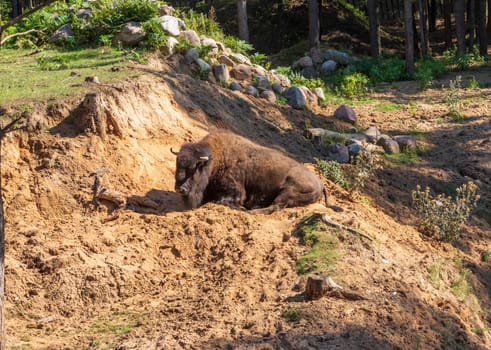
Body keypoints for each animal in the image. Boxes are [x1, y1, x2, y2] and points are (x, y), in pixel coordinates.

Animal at [171, 131, 328, 213]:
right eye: (178, 165)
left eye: (194, 168)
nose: (180, 189)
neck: (216, 158)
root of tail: (321, 183)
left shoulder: (235, 190)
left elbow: (224, 200)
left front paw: (240, 207)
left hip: (288, 190)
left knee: (275, 206)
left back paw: (251, 210)